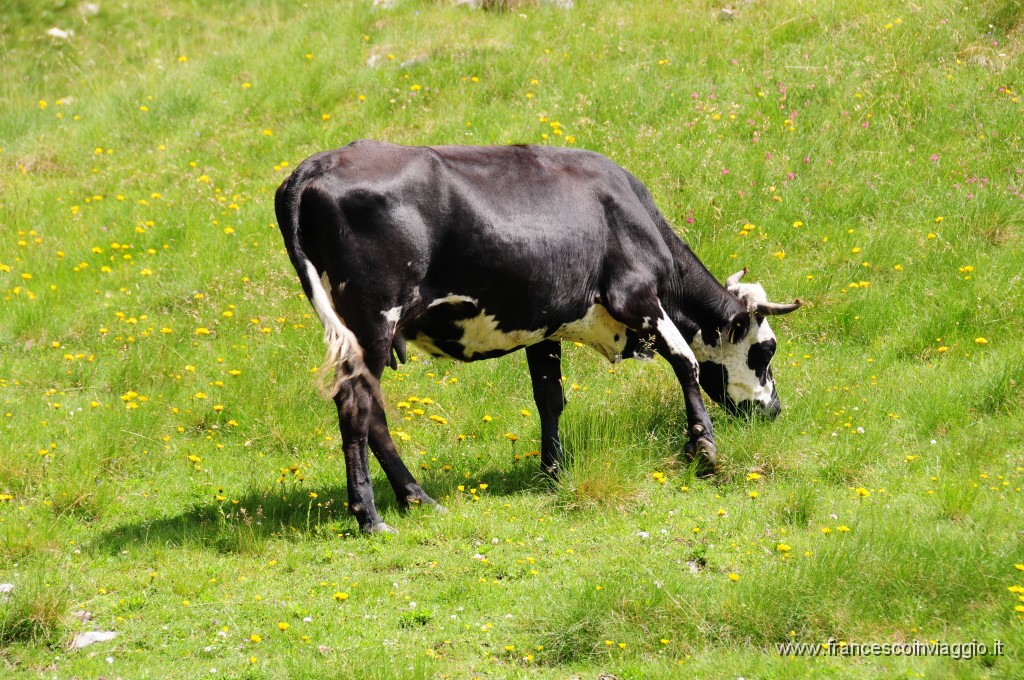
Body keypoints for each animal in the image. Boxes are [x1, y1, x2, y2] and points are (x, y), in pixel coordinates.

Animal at [276, 140, 802, 532]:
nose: (775, 410)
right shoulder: (636, 298)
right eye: (764, 350)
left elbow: (550, 397)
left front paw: (552, 471)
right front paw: (705, 449)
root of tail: (313, 166)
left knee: (374, 415)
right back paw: (370, 517)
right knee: (356, 408)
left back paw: (416, 497)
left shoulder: (546, 326)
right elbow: (686, 364)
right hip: (373, 320)